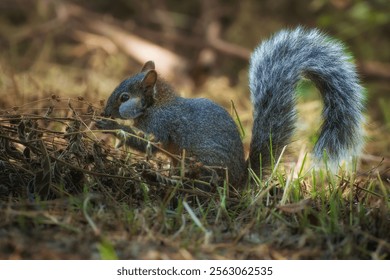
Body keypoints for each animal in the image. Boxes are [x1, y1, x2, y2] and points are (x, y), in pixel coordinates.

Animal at [96, 27, 364, 188]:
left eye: (124, 97)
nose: (105, 112)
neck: (156, 105)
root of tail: (238, 181)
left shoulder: (160, 125)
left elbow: (149, 143)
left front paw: (109, 126)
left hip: (204, 161)